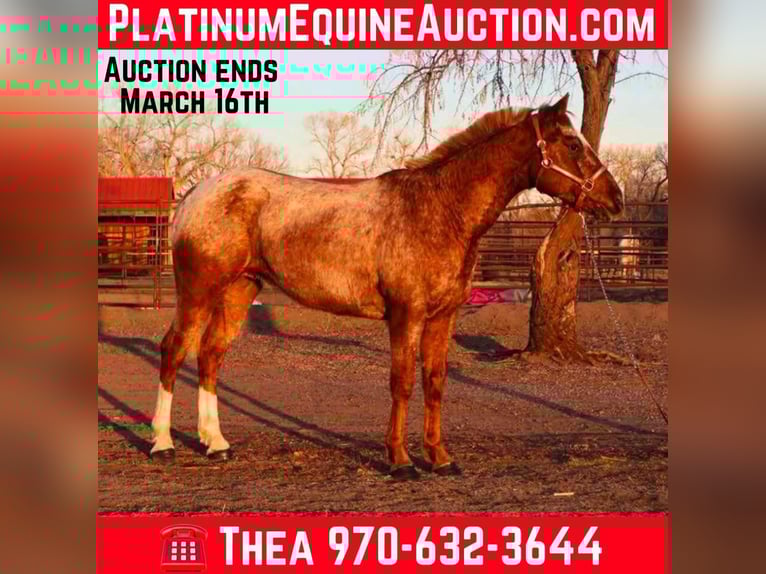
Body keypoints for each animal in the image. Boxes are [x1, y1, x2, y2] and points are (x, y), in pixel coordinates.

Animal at [150, 94, 624, 480]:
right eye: (572, 144)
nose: (615, 198)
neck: (440, 209)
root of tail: (197, 194)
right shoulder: (406, 316)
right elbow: (403, 383)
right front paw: (400, 461)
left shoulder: (442, 318)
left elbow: (435, 382)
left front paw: (440, 458)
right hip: (198, 291)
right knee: (174, 349)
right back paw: (163, 444)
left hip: (239, 290)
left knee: (210, 356)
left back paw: (216, 444)